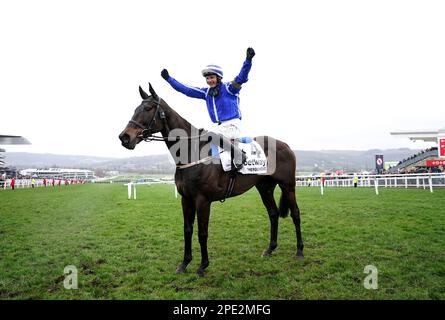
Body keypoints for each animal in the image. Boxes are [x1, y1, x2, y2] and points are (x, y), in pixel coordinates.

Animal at [119, 83, 304, 276]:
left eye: (147, 108)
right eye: (135, 109)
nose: (124, 137)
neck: (191, 152)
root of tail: (285, 145)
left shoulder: (203, 200)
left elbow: (202, 233)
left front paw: (202, 265)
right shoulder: (186, 199)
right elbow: (187, 230)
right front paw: (184, 263)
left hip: (288, 185)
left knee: (296, 213)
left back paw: (299, 251)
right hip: (264, 188)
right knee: (273, 214)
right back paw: (270, 249)